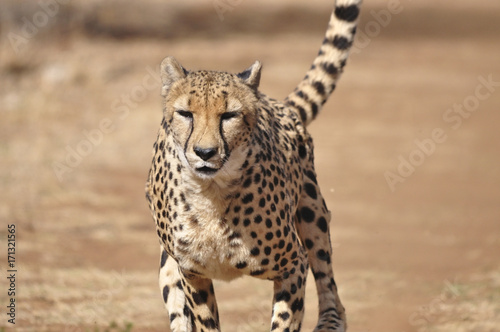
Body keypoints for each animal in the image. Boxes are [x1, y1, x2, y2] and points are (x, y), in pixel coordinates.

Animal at [145, 1, 360, 330]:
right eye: (186, 114)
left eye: (229, 115)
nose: (205, 152)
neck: (211, 194)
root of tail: (277, 103)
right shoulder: (191, 273)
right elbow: (204, 321)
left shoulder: (293, 264)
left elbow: (285, 318)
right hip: (167, 265)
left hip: (313, 213)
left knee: (329, 282)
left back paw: (330, 321)